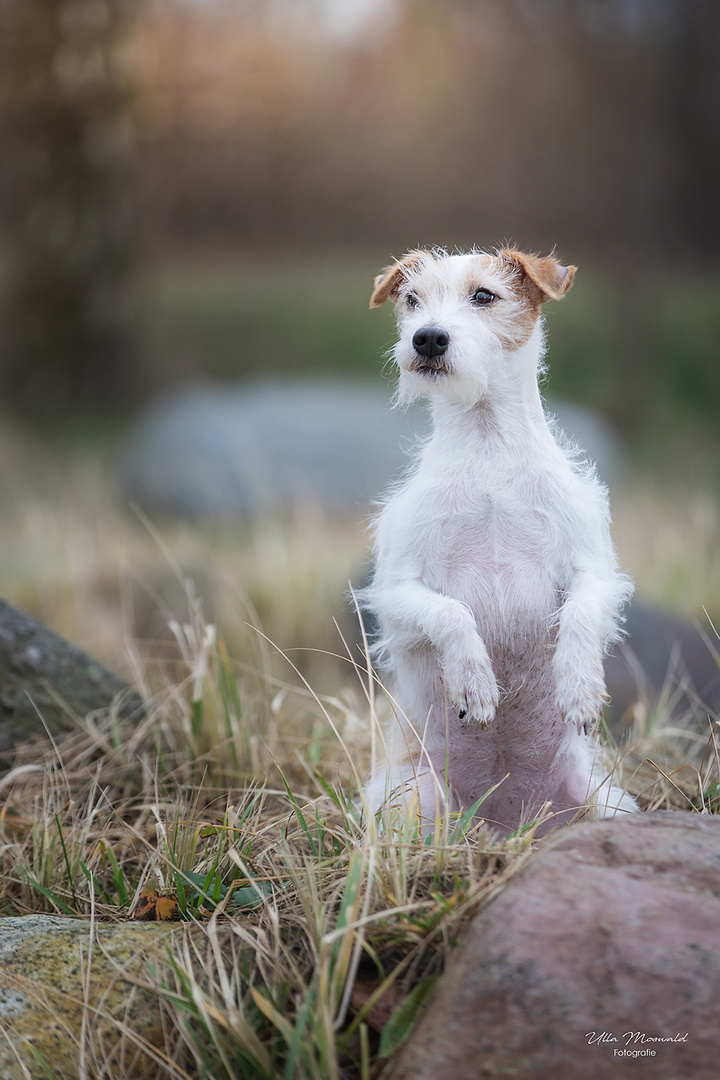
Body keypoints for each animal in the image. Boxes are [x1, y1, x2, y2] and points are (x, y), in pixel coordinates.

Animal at [362, 245, 639, 833]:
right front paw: (476, 684)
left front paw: (579, 687)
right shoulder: (395, 593)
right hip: (415, 801)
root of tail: (505, 822)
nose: (428, 338)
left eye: (484, 295)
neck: (488, 451)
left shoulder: (595, 573)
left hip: (604, 802)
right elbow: (451, 613)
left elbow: (580, 614)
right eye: (412, 299)